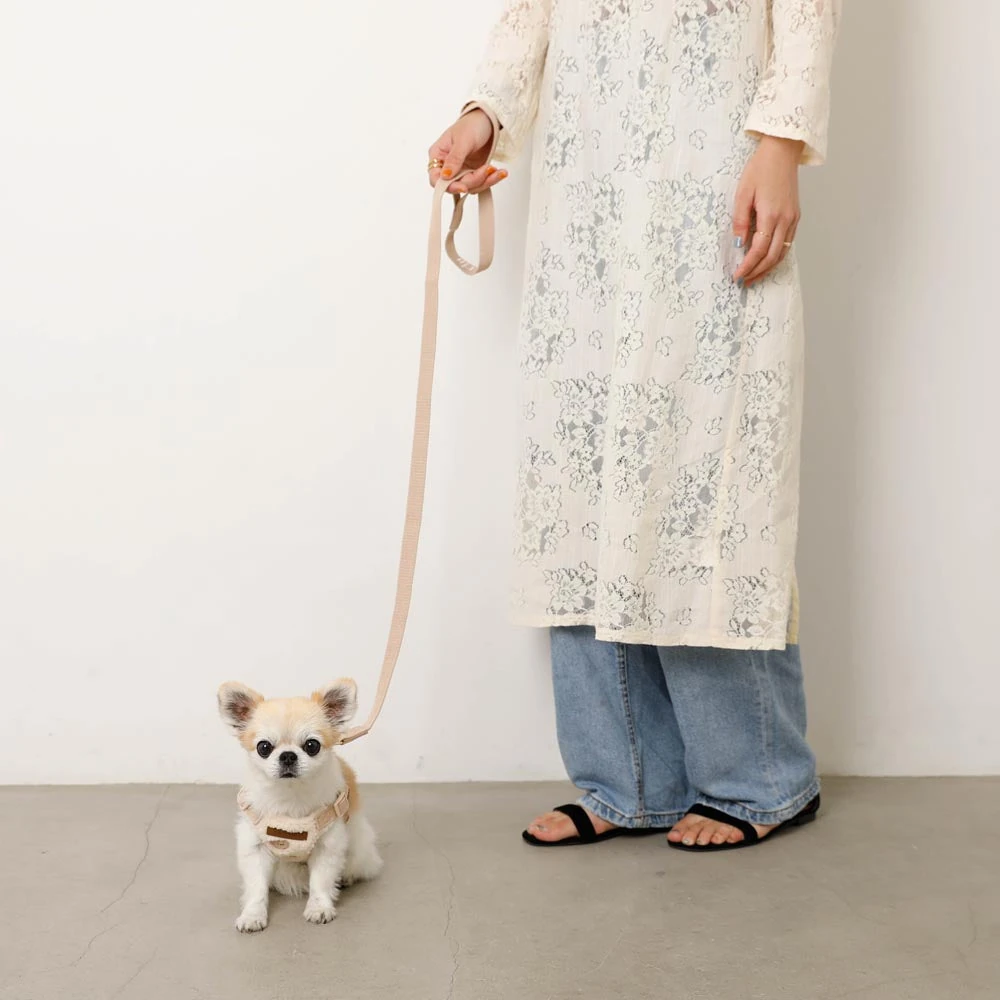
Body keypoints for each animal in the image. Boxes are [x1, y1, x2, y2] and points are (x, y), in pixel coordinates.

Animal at [217, 679, 383, 932]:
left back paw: (346, 877)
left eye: (312, 745)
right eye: (264, 747)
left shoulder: (328, 845)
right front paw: (252, 915)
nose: (287, 755)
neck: (290, 798)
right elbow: (256, 888)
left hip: (357, 847)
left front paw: (319, 907)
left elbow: (321, 882)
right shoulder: (255, 847)